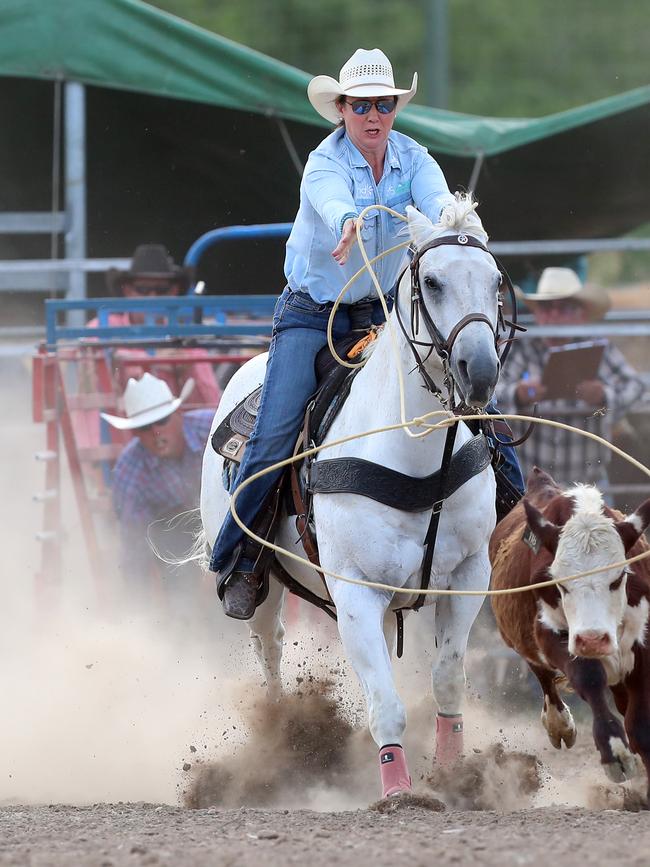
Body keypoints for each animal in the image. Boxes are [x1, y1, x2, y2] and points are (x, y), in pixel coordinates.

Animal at [200, 200, 504, 796]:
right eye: (431, 282)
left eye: (496, 281)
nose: (479, 373)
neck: (417, 457)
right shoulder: (355, 591)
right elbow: (385, 702)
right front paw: (399, 792)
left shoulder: (467, 577)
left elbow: (447, 679)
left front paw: (453, 779)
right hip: (266, 590)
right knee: (269, 651)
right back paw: (281, 745)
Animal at [488, 468, 648, 792]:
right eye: (559, 583)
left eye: (618, 577)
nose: (593, 640)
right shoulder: (552, 637)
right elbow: (588, 677)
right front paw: (614, 752)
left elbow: (641, 725)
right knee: (543, 675)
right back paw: (559, 724)